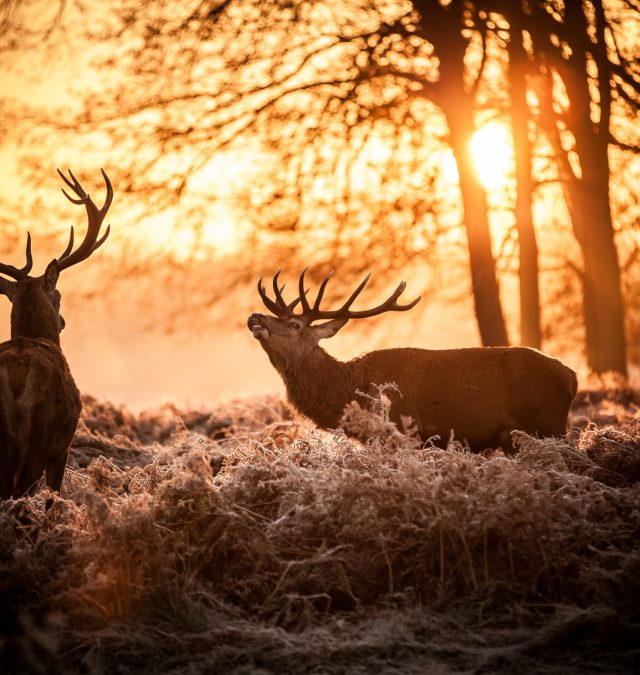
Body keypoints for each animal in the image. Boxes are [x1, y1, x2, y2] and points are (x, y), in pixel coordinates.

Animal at [248, 270, 576, 454]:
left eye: (295, 325)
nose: (255, 317)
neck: (350, 390)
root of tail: (571, 377)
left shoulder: (402, 432)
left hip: (549, 424)